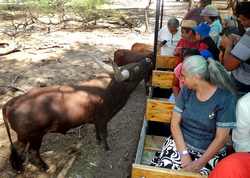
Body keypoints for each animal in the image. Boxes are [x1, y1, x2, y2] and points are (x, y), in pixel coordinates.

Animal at [2, 57, 152, 171]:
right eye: (136, 68)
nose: (148, 59)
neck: (110, 90)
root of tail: (12, 102)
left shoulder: (97, 120)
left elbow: (97, 131)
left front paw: (98, 140)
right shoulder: (103, 119)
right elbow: (105, 134)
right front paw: (106, 147)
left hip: (24, 137)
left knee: (14, 147)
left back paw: (18, 167)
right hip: (34, 136)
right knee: (32, 153)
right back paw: (44, 167)